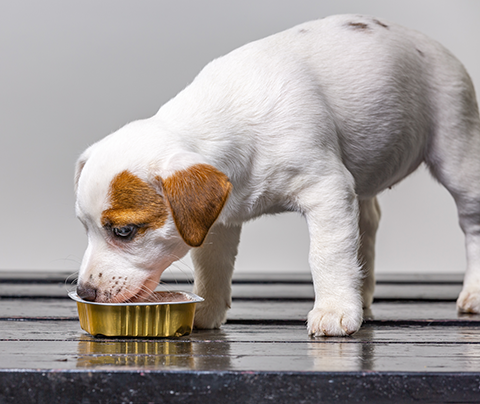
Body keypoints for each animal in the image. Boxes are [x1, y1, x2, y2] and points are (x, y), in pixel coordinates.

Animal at [74, 15, 480, 338]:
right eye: (85, 228)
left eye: (125, 231)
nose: (85, 293)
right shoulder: (217, 221)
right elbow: (212, 265)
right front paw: (205, 311)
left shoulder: (327, 190)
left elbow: (327, 254)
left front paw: (333, 310)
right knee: (367, 223)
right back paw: (361, 292)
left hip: (457, 151)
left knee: (471, 223)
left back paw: (473, 292)